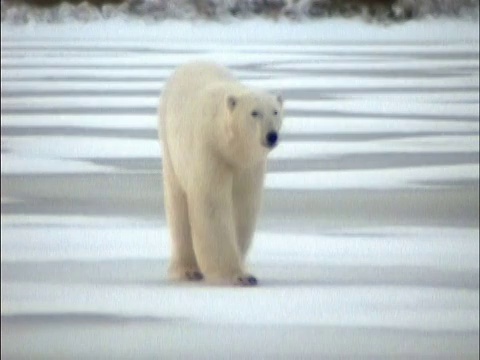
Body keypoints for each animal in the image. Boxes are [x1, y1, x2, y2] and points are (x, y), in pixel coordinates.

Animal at [159, 62, 284, 286]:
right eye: (254, 113)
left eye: (275, 112)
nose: (271, 135)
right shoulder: (210, 150)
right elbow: (212, 204)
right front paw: (238, 275)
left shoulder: (249, 166)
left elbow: (243, 204)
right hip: (170, 145)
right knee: (177, 203)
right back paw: (187, 270)